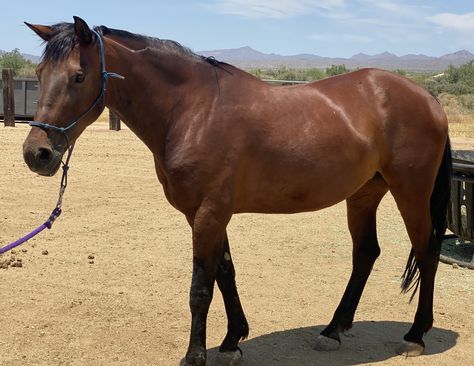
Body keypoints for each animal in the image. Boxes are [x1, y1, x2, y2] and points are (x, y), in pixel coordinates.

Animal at [23, 17, 452, 366]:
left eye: (79, 76)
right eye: (40, 73)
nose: (37, 154)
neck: (192, 111)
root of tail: (427, 97)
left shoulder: (209, 213)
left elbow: (200, 288)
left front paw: (195, 356)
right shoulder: (205, 214)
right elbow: (225, 273)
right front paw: (232, 341)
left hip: (411, 192)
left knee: (427, 250)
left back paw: (415, 335)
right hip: (364, 195)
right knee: (365, 254)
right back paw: (333, 330)